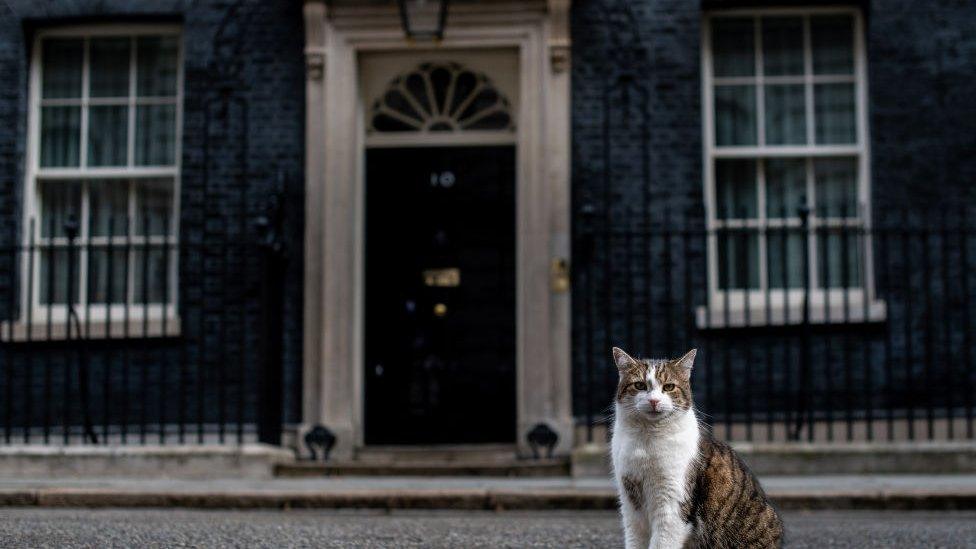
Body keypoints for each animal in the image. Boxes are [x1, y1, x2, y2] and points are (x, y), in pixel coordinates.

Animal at [612, 346, 780, 548]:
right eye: (639, 385)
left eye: (668, 387)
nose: (654, 401)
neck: (647, 438)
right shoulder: (630, 502)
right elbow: (634, 539)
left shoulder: (673, 503)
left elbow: (662, 541)